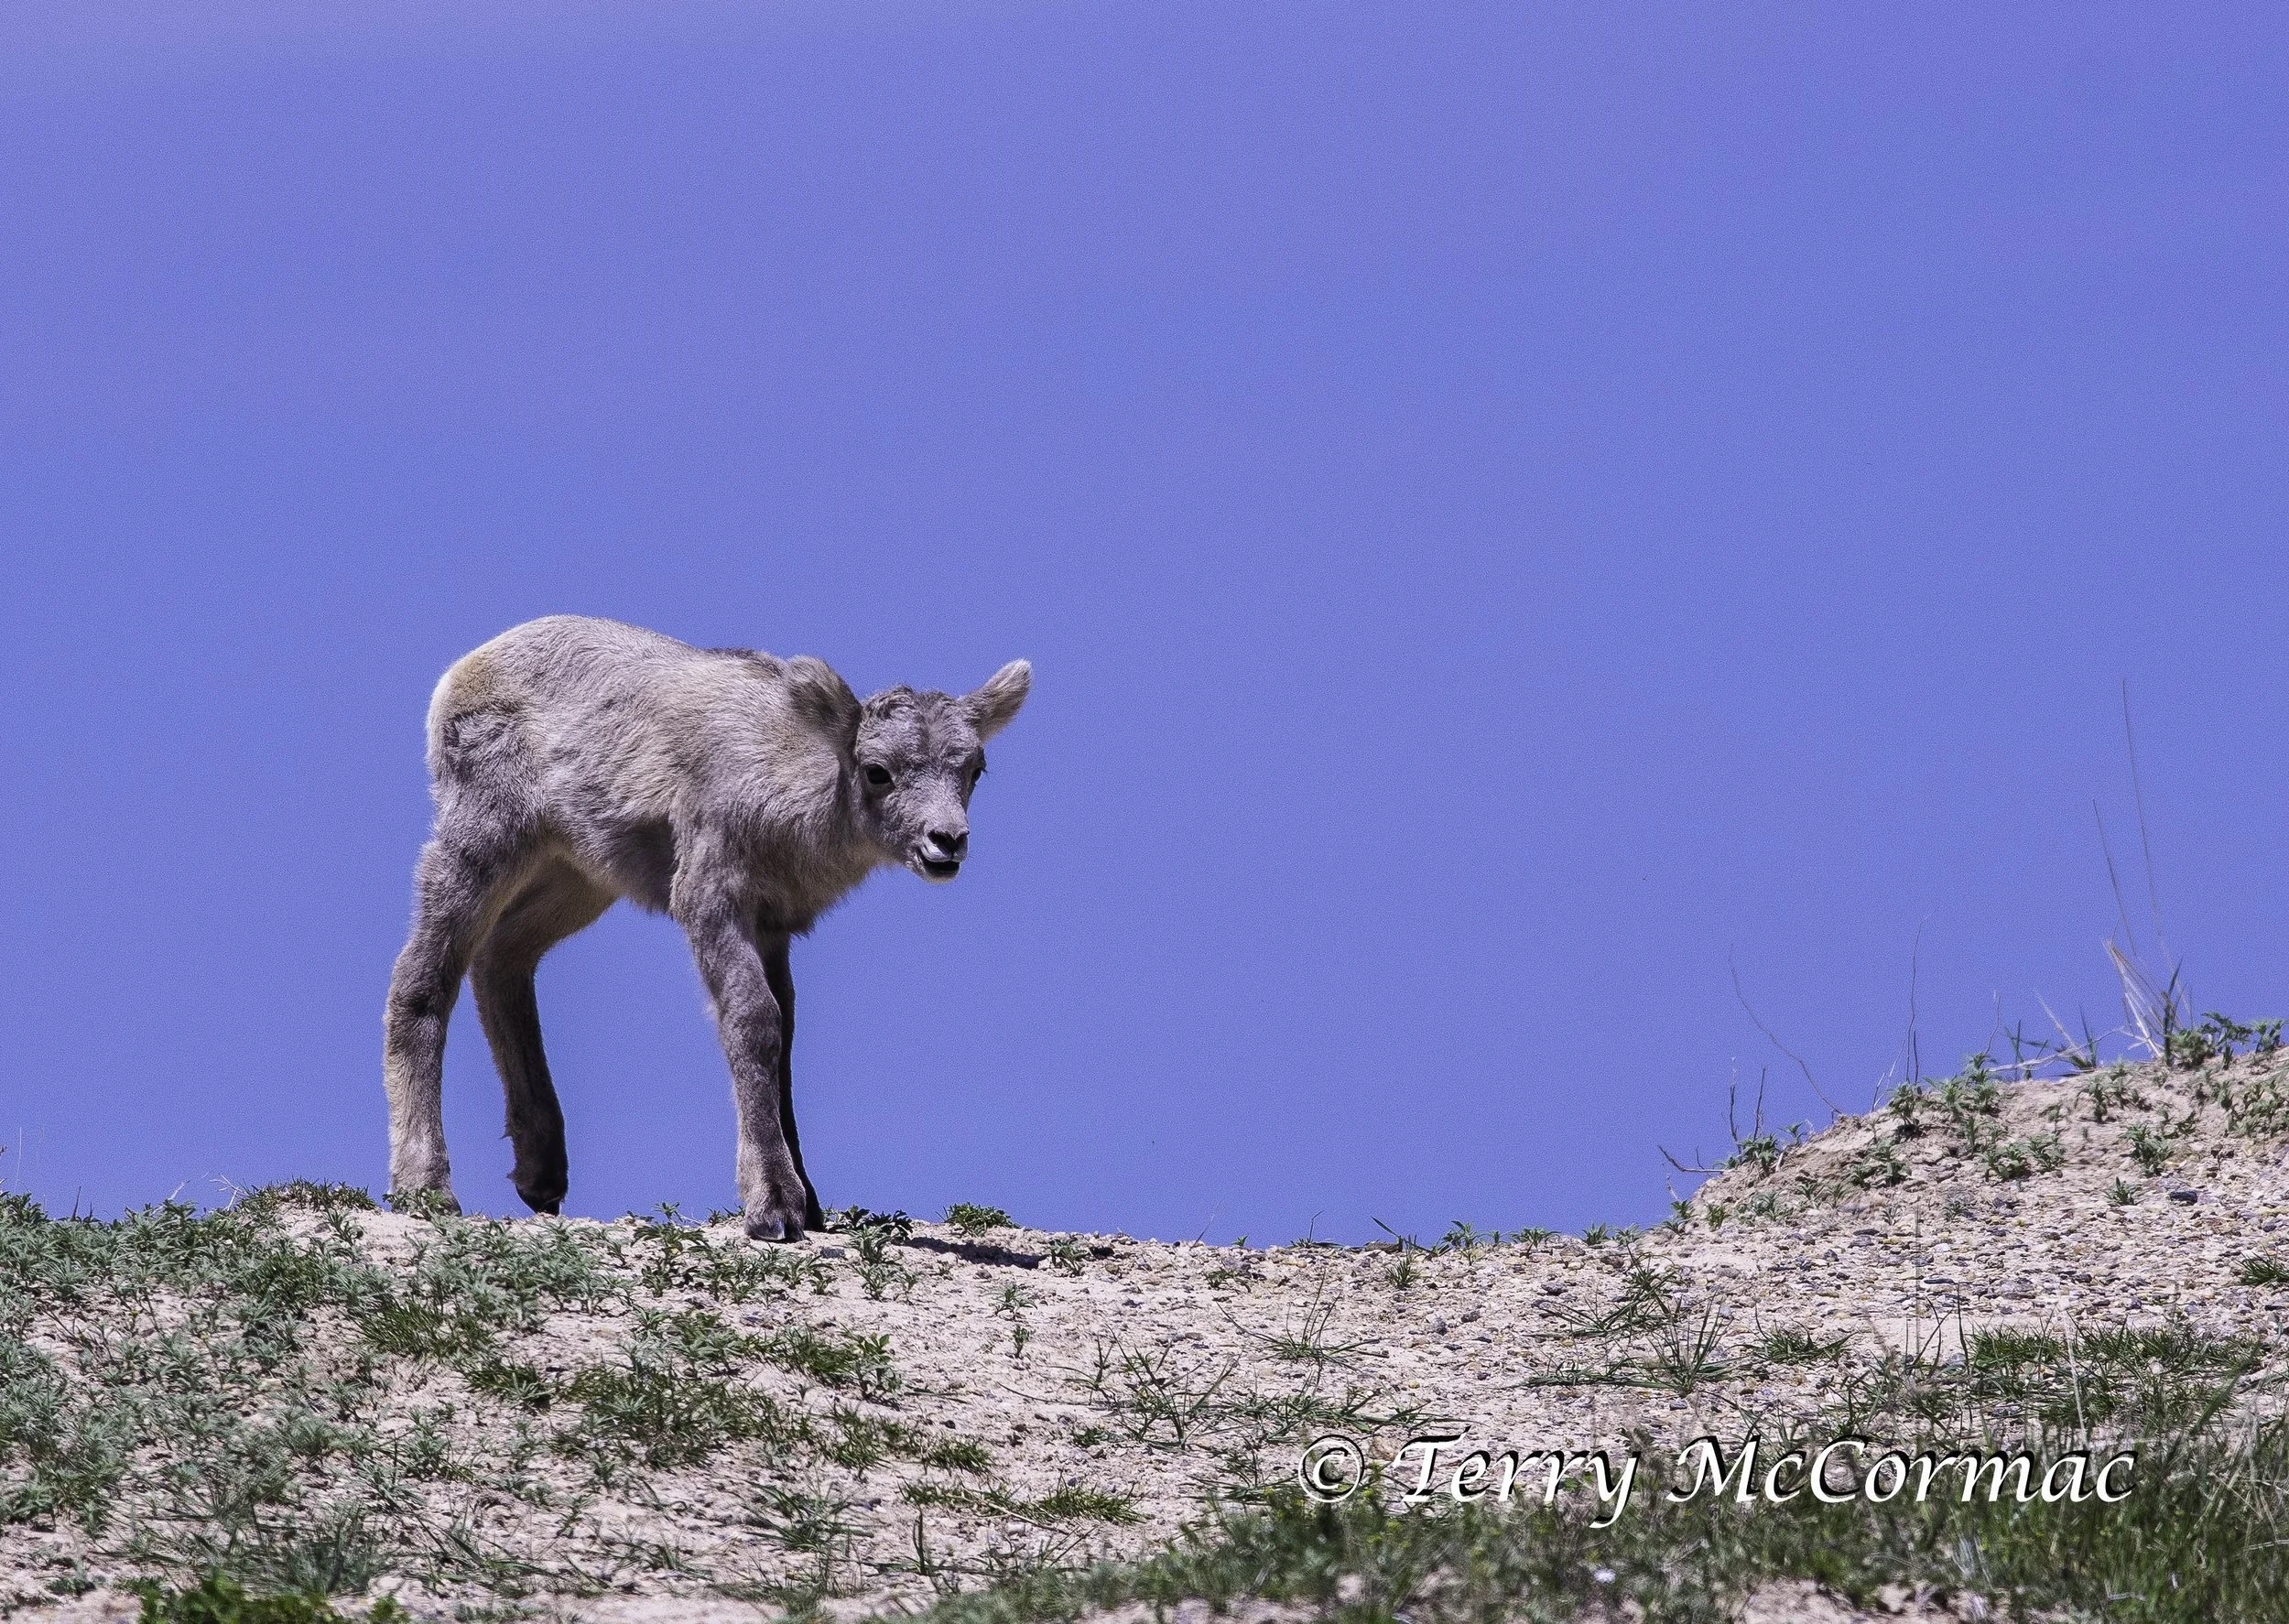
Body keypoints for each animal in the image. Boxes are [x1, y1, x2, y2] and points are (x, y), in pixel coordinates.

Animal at [382, 614, 1030, 1240]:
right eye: (877, 772)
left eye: (975, 769)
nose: (946, 842)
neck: (787, 800)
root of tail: (460, 675)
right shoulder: (712, 901)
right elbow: (755, 1023)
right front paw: (774, 1208)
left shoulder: (771, 929)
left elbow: (783, 1041)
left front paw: (810, 1205)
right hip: (485, 839)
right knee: (424, 979)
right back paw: (427, 1188)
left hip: (578, 877)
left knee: (500, 957)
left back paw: (542, 1174)